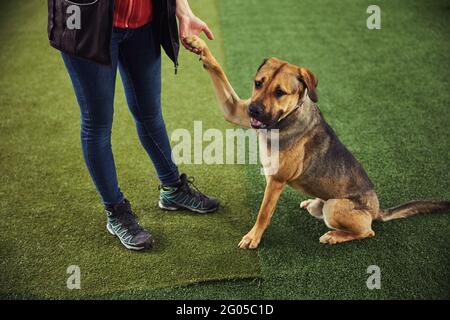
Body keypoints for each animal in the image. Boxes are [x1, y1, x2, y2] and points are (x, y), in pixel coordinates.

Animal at [183, 35, 450, 250]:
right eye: (258, 83)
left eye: (279, 92)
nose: (254, 111)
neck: (285, 119)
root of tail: (377, 210)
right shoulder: (235, 109)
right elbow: (217, 69)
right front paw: (199, 45)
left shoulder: (276, 181)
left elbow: (263, 214)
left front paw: (253, 238)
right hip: (321, 205)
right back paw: (312, 203)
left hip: (335, 207)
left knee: (368, 232)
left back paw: (334, 236)